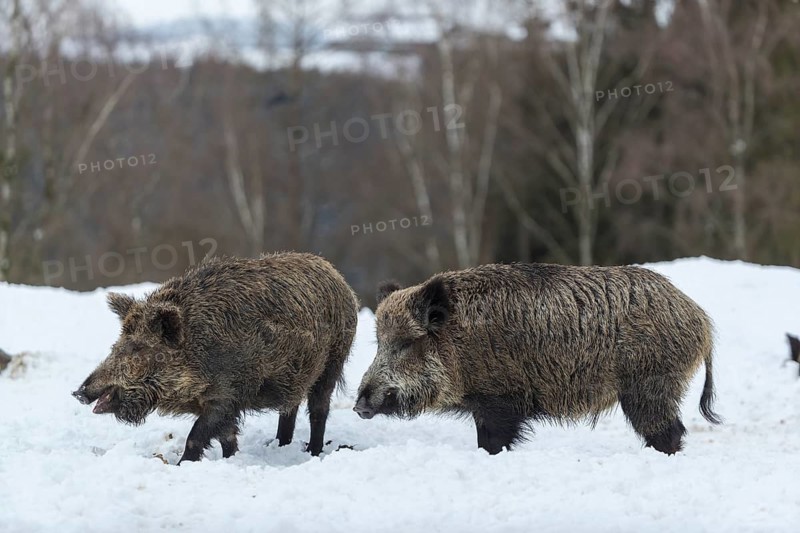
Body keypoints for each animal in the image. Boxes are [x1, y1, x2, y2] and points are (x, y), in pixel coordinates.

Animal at [73, 253, 358, 463]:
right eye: (117, 344)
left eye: (138, 348)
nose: (78, 392)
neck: (196, 350)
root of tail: (337, 276)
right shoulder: (220, 402)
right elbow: (226, 437)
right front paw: (231, 459)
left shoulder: (226, 395)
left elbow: (196, 436)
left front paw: (182, 465)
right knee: (290, 407)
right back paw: (278, 445)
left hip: (333, 361)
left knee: (319, 408)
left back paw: (312, 452)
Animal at [355, 263, 721, 455]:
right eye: (379, 342)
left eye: (405, 343)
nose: (360, 405)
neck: (459, 342)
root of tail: (700, 319)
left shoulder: (501, 400)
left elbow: (494, 441)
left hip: (649, 386)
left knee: (668, 431)